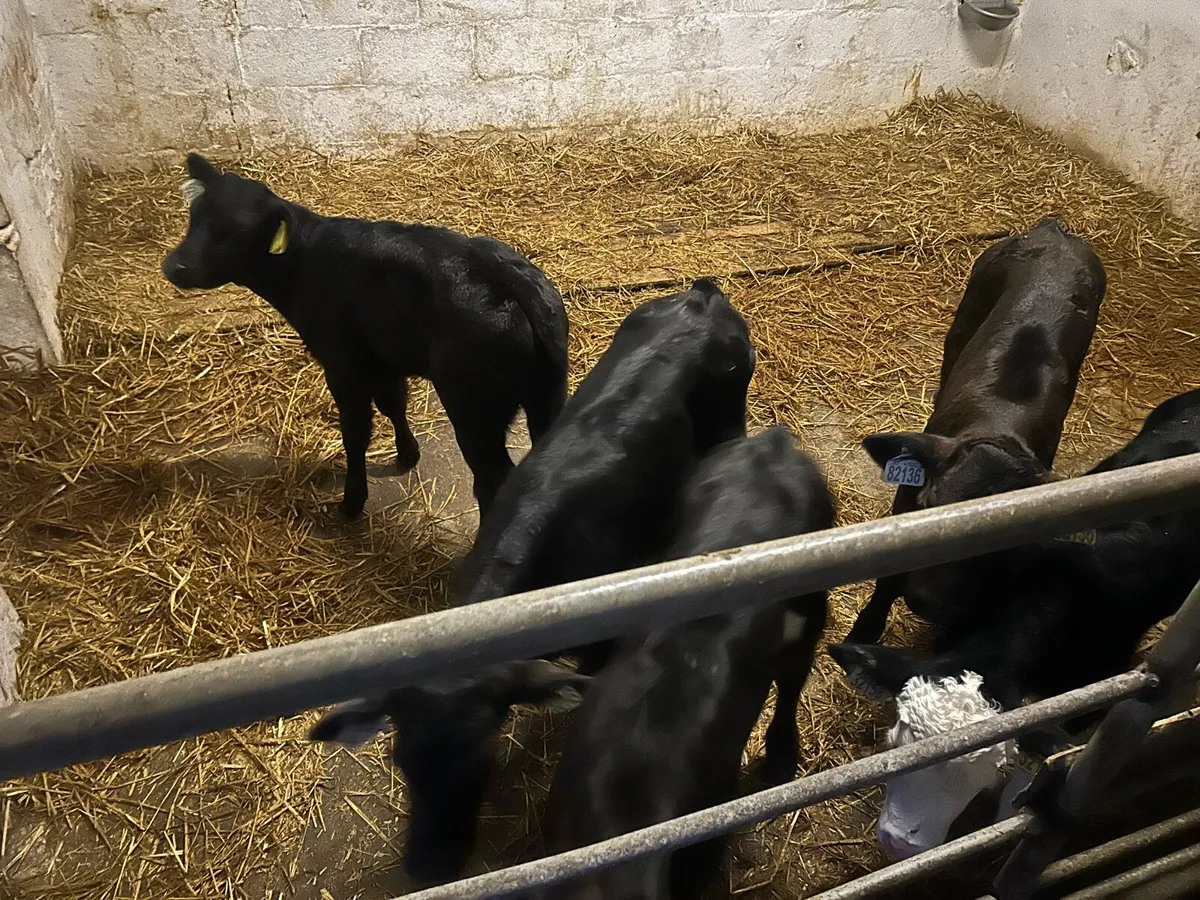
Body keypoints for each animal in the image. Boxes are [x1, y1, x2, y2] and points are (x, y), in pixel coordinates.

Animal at [162, 153, 568, 521]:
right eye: (193, 218)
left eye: (232, 234)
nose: (174, 266)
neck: (304, 264)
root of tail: (509, 279)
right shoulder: (383, 358)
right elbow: (393, 404)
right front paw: (407, 454)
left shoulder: (343, 363)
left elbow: (356, 432)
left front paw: (352, 503)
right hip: (546, 396)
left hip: (474, 408)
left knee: (492, 479)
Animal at [846, 217, 1106, 644]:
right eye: (928, 507)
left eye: (997, 542)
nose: (927, 601)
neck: (999, 426)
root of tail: (1053, 231)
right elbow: (887, 581)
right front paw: (862, 634)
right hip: (967, 311)